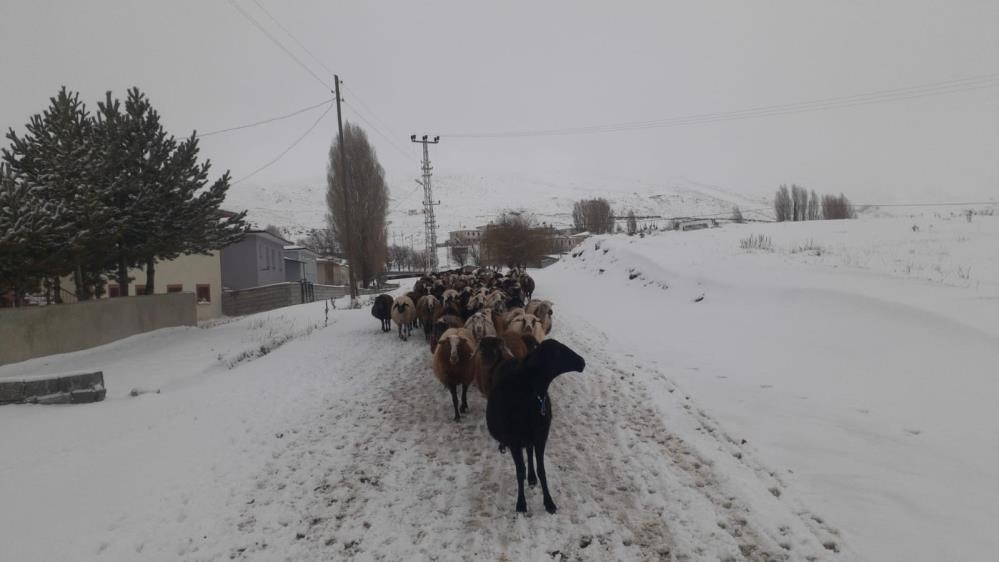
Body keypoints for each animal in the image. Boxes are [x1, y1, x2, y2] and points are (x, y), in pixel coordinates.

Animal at [486, 336, 584, 512]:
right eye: (557, 352)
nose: (582, 362)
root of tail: (506, 358)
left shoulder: (541, 437)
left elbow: (541, 470)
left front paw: (549, 502)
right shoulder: (515, 441)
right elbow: (519, 471)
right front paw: (521, 504)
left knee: (529, 451)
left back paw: (531, 478)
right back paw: (503, 447)